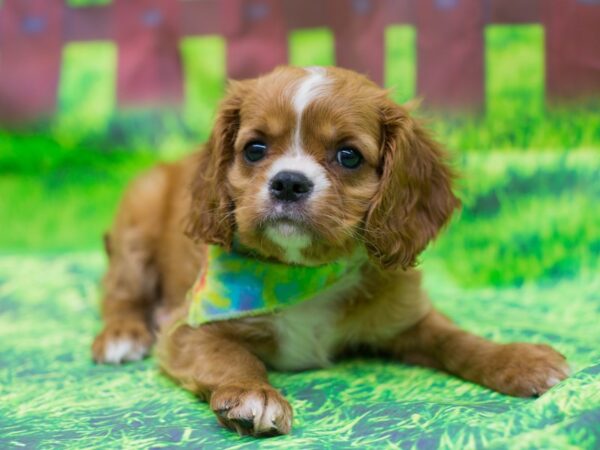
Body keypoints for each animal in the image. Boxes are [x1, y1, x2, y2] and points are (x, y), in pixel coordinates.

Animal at [92, 66, 568, 436]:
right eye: (255, 149)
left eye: (349, 156)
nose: (288, 182)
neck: (303, 273)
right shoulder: (187, 329)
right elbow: (231, 356)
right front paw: (253, 394)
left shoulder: (406, 316)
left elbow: (454, 338)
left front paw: (517, 359)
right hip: (137, 224)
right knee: (120, 293)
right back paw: (121, 335)